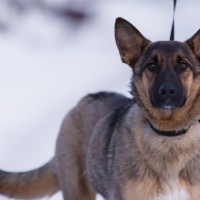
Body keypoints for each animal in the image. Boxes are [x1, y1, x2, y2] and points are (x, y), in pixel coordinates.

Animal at [0, 17, 200, 200]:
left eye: (183, 65)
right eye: (152, 66)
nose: (167, 91)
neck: (169, 134)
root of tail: (83, 101)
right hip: (77, 190)